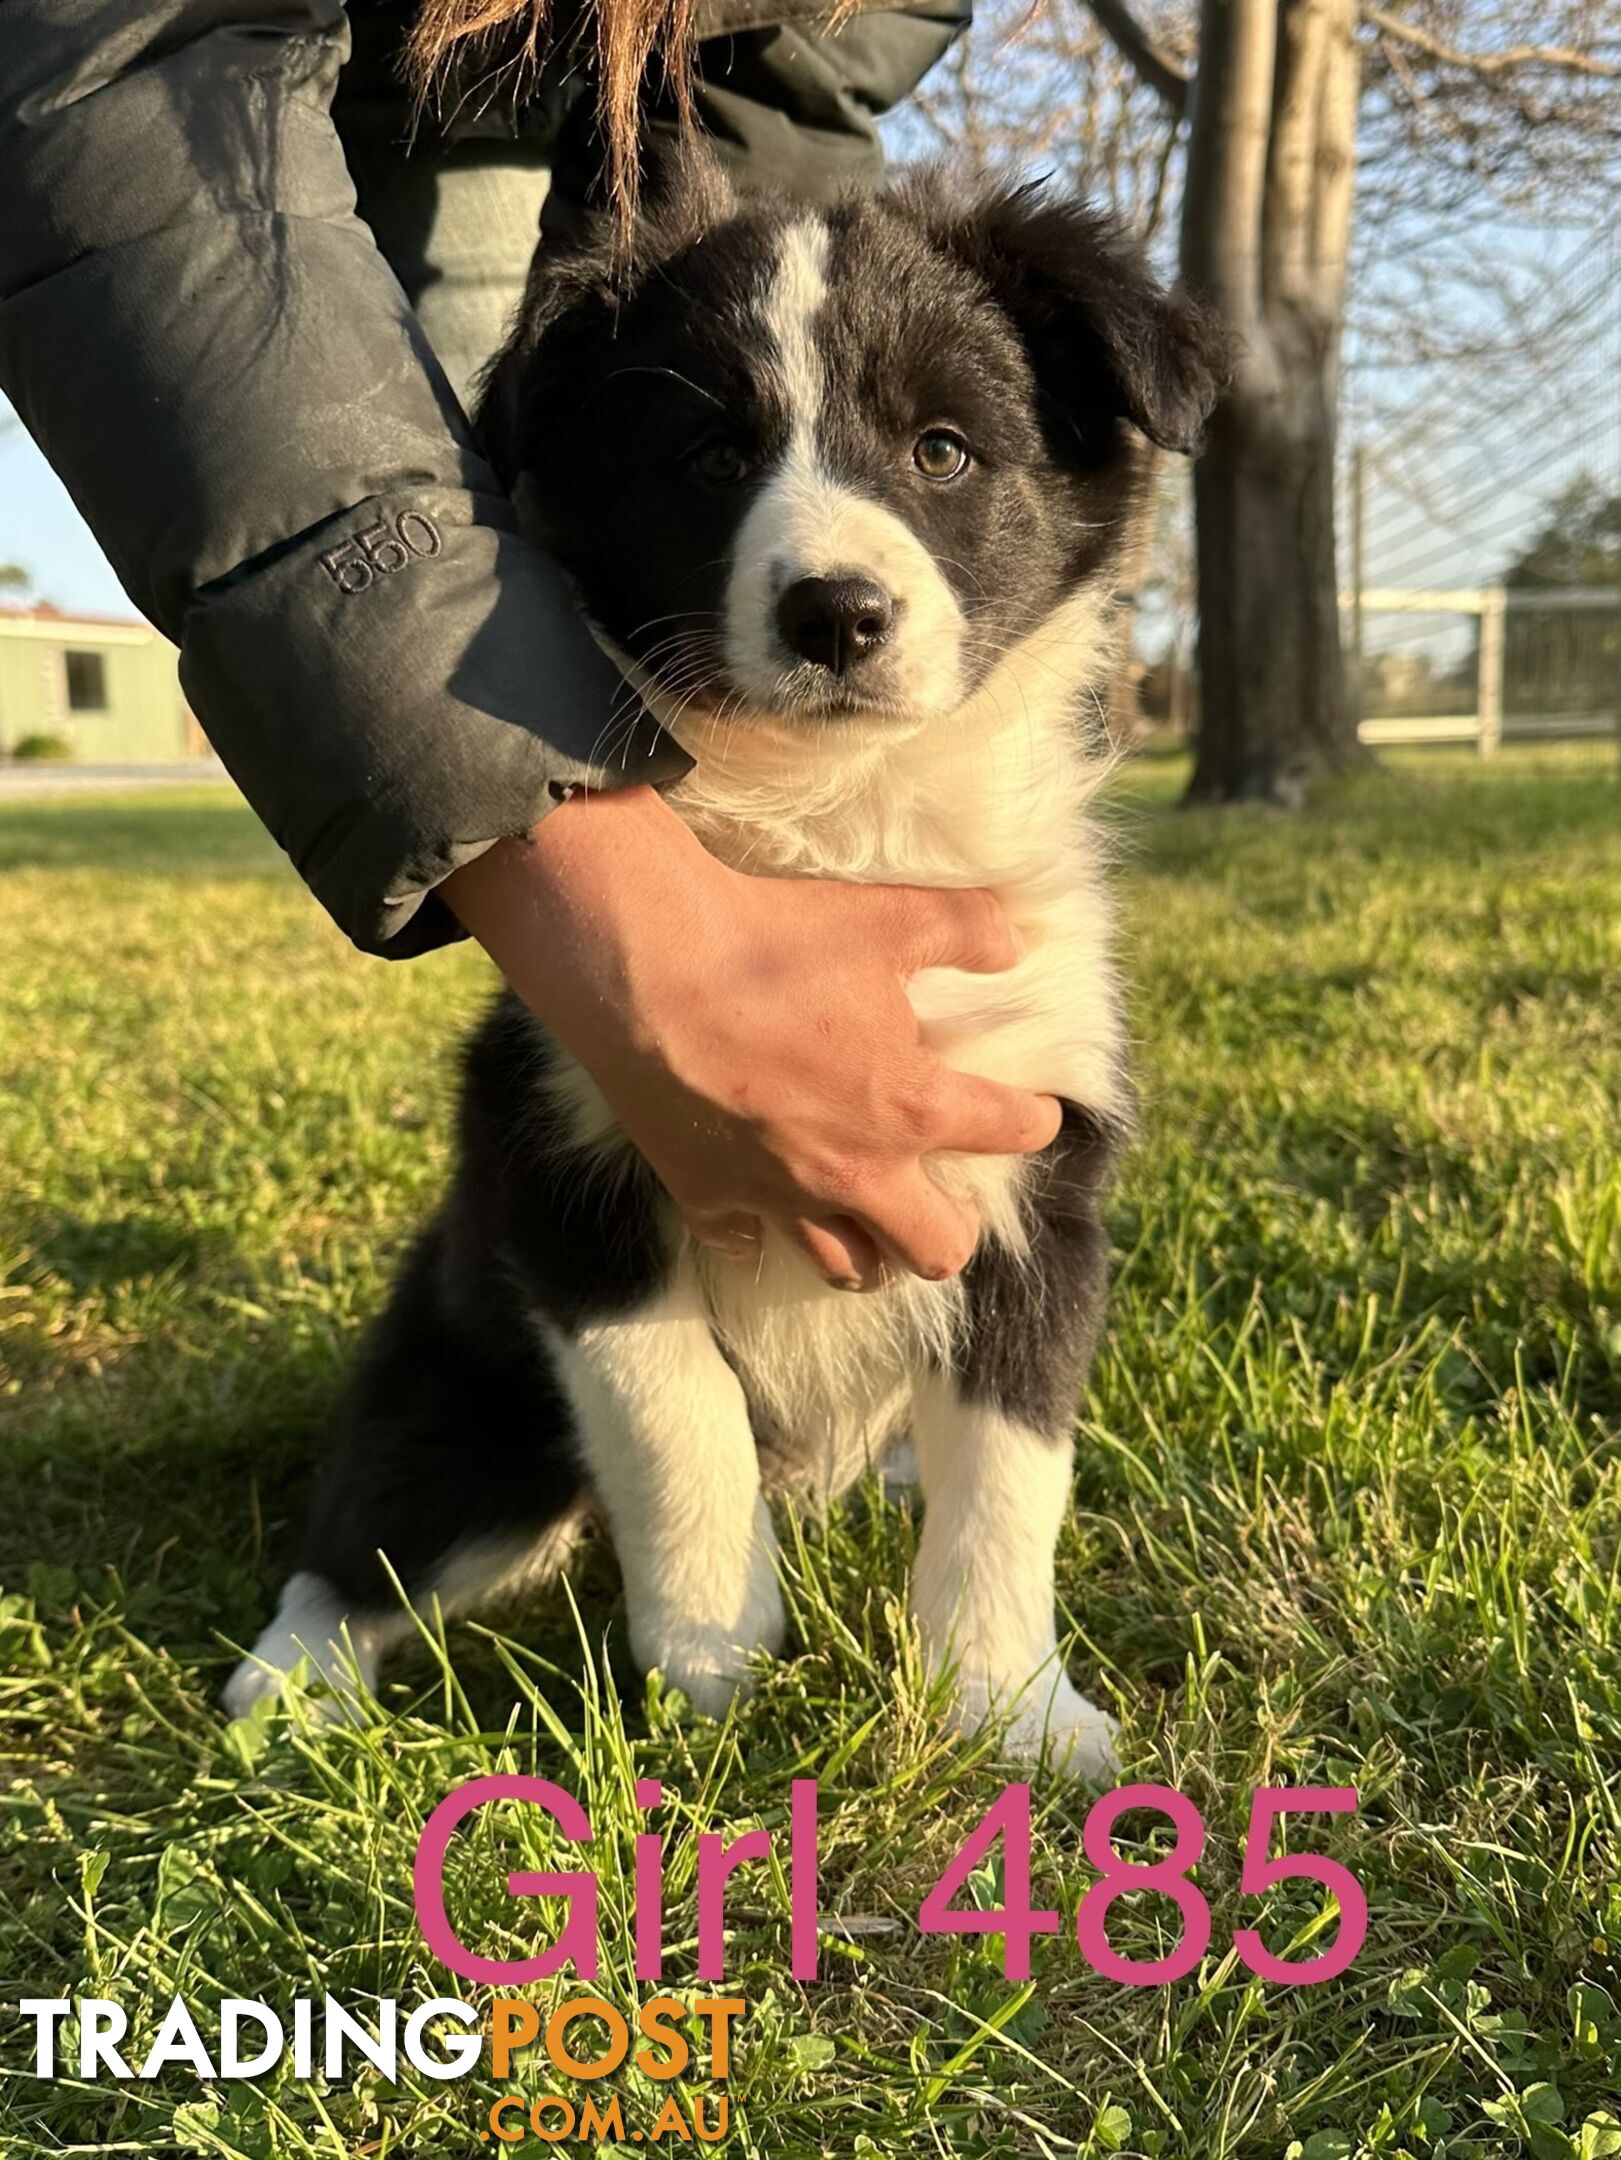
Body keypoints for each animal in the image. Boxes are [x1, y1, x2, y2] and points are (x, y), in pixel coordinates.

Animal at [222, 156, 1227, 1771]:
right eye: (706, 458)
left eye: (943, 449)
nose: (836, 614)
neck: (838, 822)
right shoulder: (566, 1166)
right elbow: (672, 1407)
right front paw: (713, 1660)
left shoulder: (1039, 1176)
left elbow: (1009, 1473)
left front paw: (1006, 1708)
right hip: (473, 1415)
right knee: (366, 1536)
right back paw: (292, 1693)